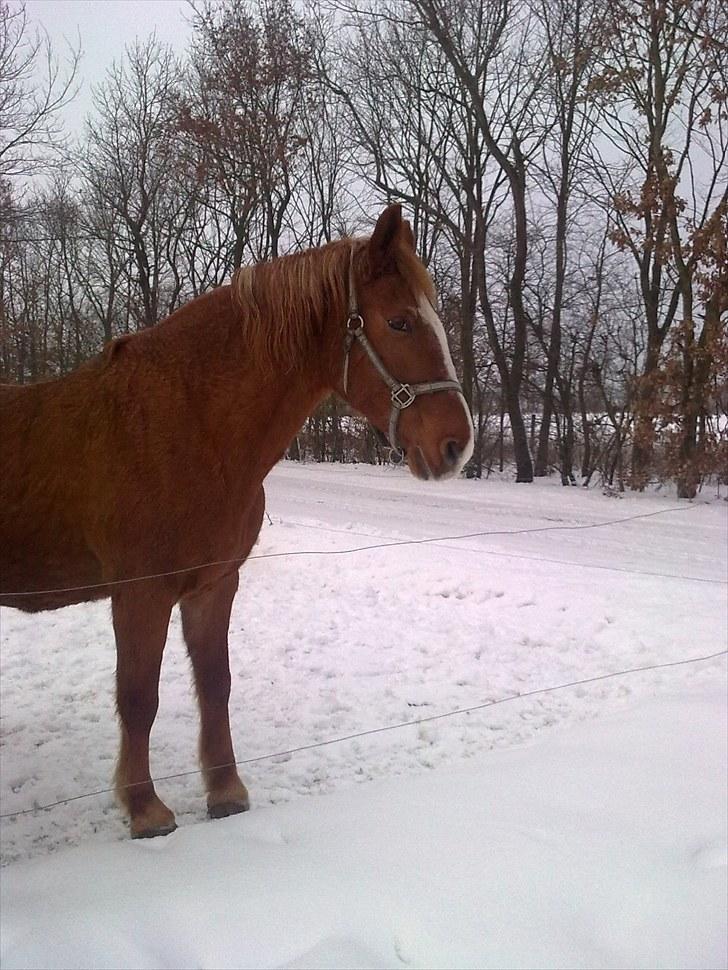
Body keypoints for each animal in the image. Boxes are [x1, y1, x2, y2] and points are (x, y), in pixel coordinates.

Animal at [0, 202, 472, 832]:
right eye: (398, 323)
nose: (456, 444)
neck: (190, 425)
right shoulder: (142, 594)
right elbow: (138, 698)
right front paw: (146, 809)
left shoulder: (215, 585)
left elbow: (215, 684)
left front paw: (226, 792)